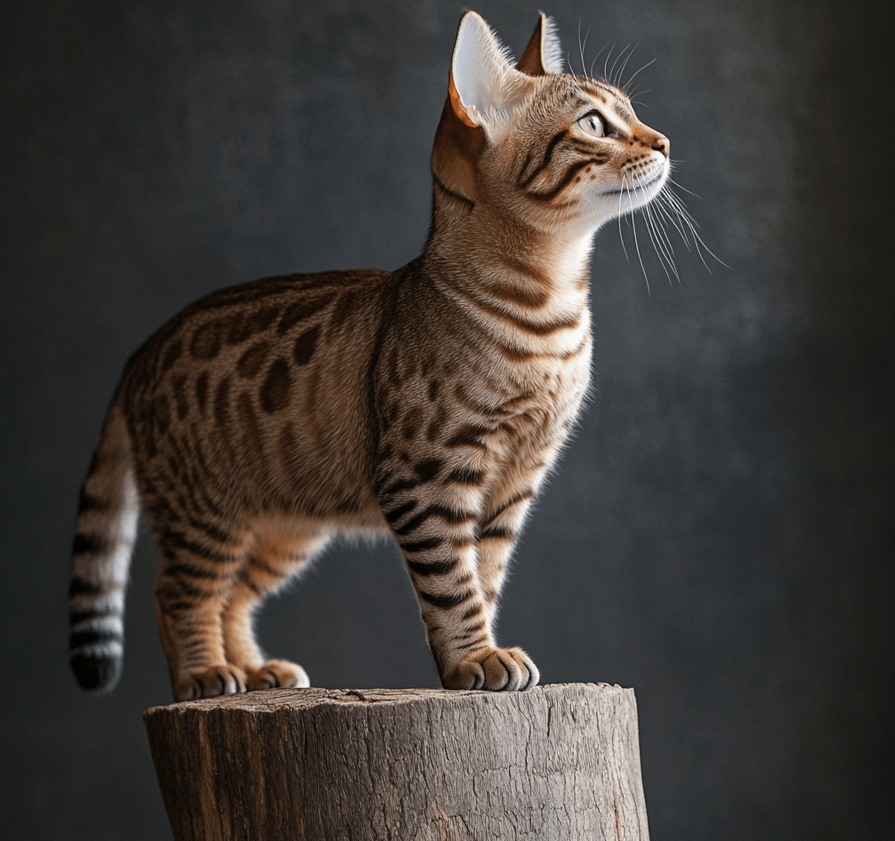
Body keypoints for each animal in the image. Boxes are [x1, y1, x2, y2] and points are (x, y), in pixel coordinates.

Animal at [70, 9, 672, 700]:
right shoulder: (426, 474)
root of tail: (140, 351)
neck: (551, 315)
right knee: (176, 594)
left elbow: (484, 576)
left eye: (632, 112)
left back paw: (254, 670)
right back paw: (205, 672)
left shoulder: (516, 480)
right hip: (204, 511)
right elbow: (452, 584)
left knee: (233, 595)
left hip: (284, 525)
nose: (664, 142)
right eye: (595, 124)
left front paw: (484, 648)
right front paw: (472, 658)